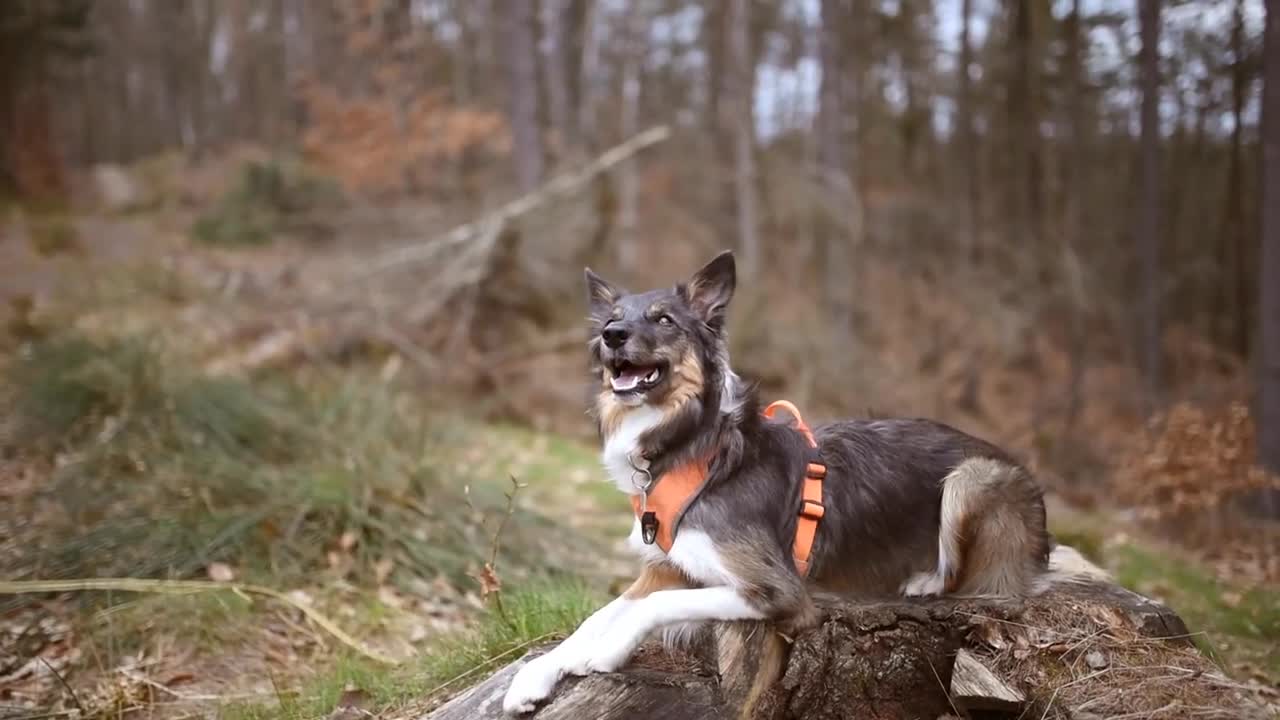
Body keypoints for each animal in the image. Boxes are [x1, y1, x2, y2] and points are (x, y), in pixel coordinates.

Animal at [504, 249, 1105, 707]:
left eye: (664, 319)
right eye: (616, 316)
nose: (612, 334)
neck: (692, 444)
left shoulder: (779, 592)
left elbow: (646, 610)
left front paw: (604, 651)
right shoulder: (670, 566)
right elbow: (597, 614)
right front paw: (537, 675)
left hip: (973, 479)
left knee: (979, 583)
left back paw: (924, 579)